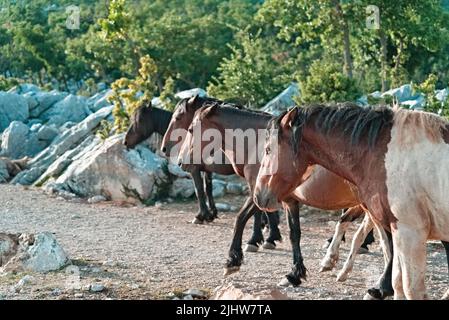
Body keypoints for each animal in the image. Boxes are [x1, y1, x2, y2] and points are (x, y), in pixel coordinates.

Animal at [252, 103, 448, 300]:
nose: (258, 194)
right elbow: (398, 282)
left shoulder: (409, 232)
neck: (384, 156)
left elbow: (410, 288)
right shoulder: (396, 228)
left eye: (268, 150)